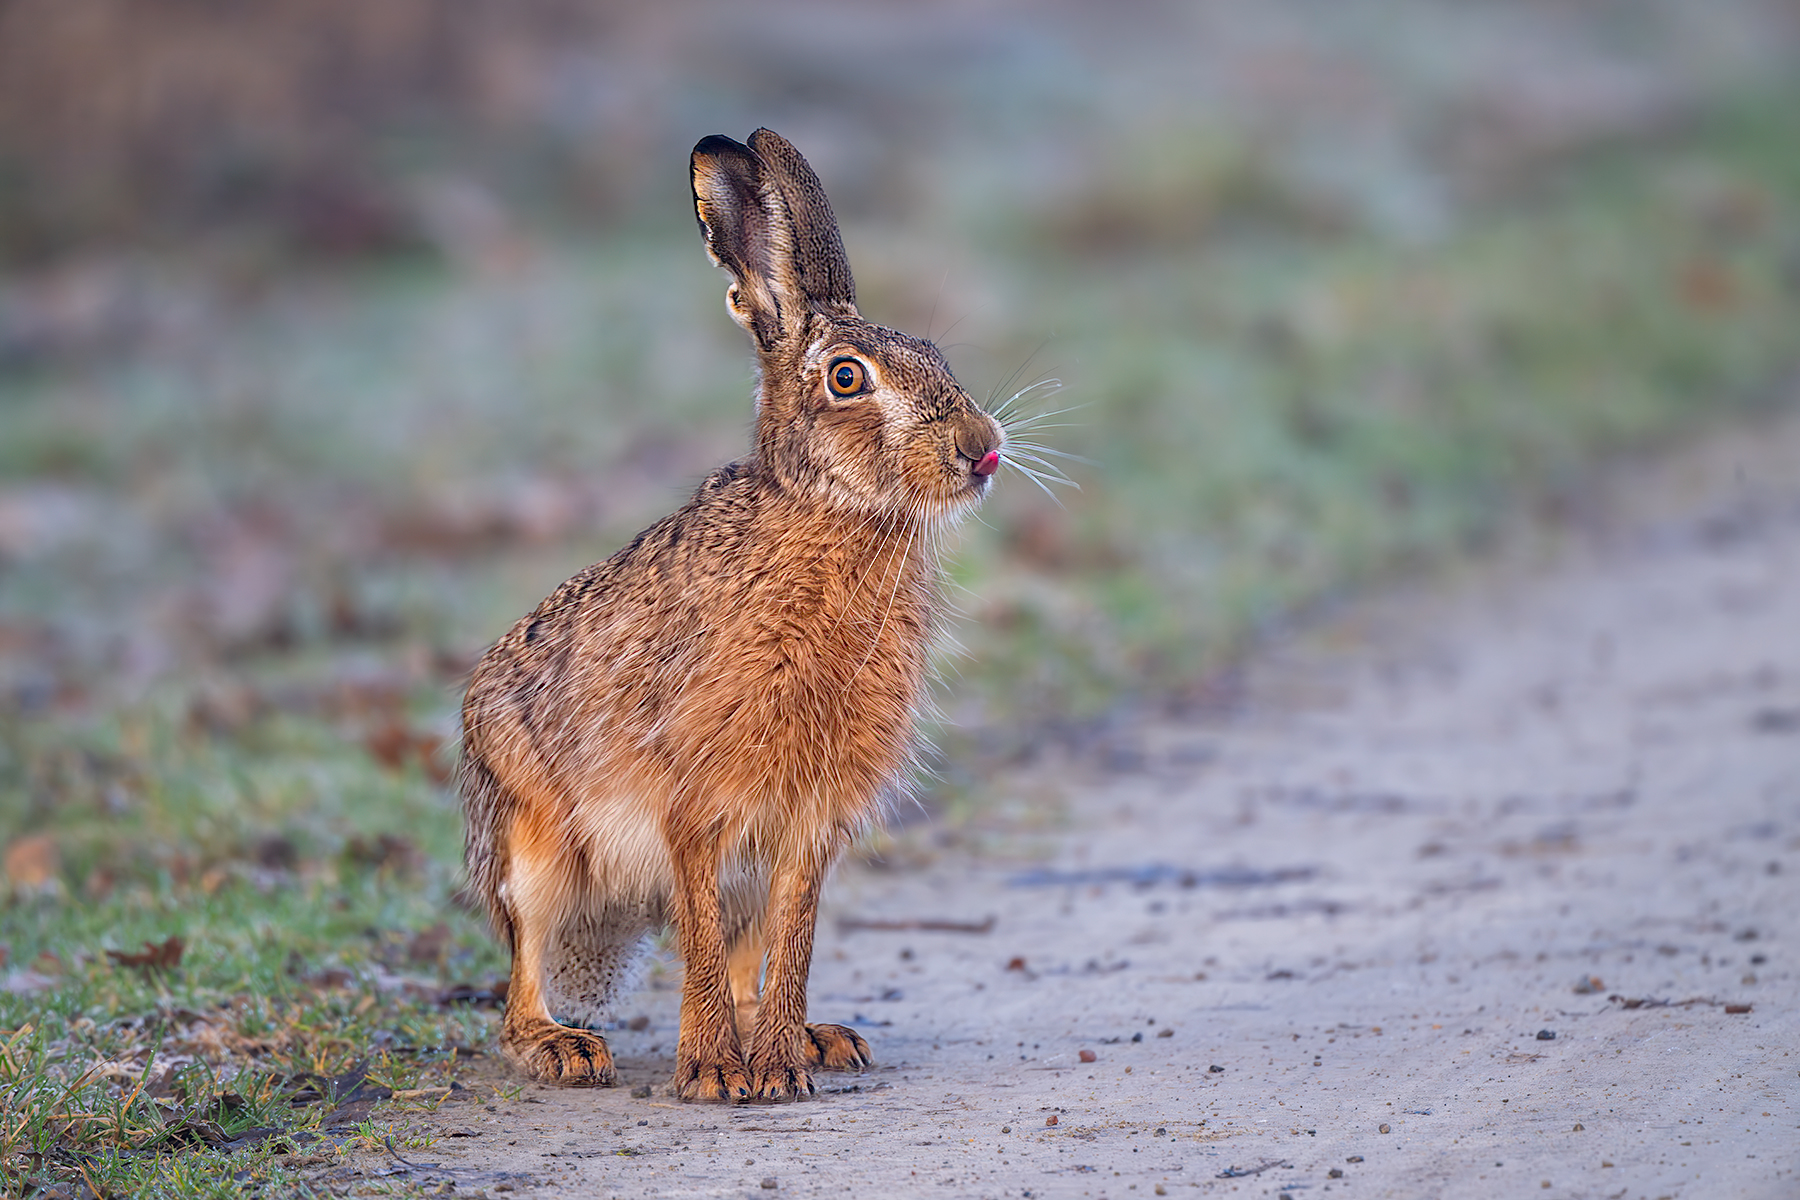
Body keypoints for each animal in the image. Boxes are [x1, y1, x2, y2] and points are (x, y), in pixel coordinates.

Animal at [459, 128, 1005, 1103]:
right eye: (846, 379)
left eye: (938, 356)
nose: (982, 450)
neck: (830, 513)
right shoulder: (693, 799)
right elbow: (703, 940)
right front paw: (715, 1073)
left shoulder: (809, 821)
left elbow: (794, 939)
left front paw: (778, 1065)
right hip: (530, 844)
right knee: (523, 974)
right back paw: (565, 1046)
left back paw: (815, 1041)